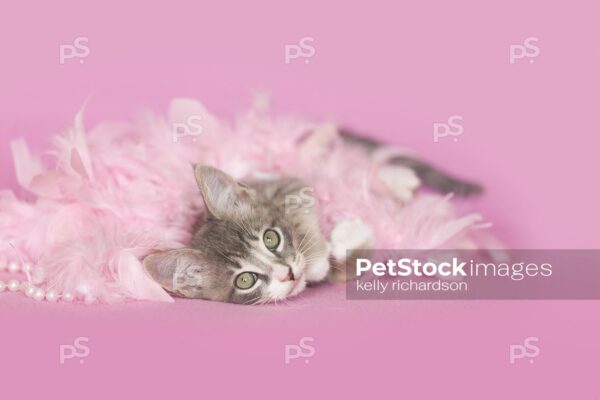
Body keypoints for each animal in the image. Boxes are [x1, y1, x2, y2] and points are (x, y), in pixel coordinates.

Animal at [143, 131, 480, 304]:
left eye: (271, 238)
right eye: (245, 280)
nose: (288, 274)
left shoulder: (286, 184)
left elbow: (299, 205)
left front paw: (316, 254)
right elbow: (346, 271)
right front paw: (344, 244)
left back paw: (395, 179)